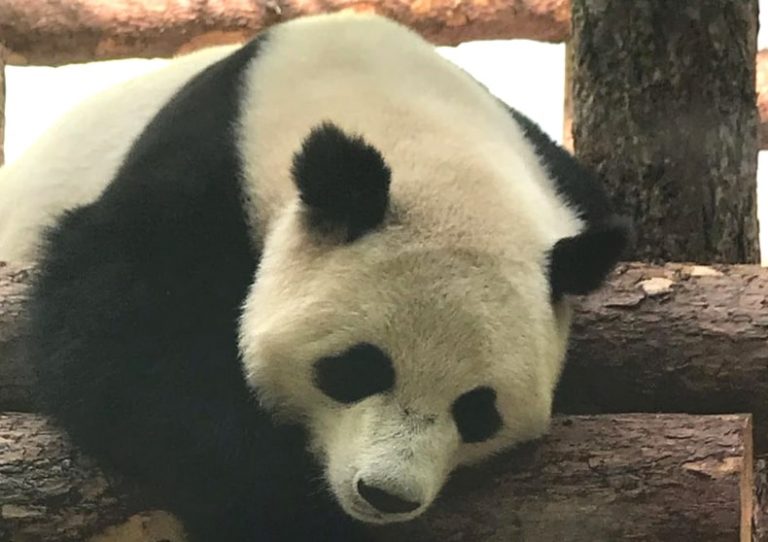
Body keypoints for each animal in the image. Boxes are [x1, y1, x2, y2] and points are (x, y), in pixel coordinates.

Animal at [1, 12, 628, 542]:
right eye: (356, 368)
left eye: (478, 410)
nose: (386, 495)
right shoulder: (201, 177)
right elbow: (121, 341)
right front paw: (298, 509)